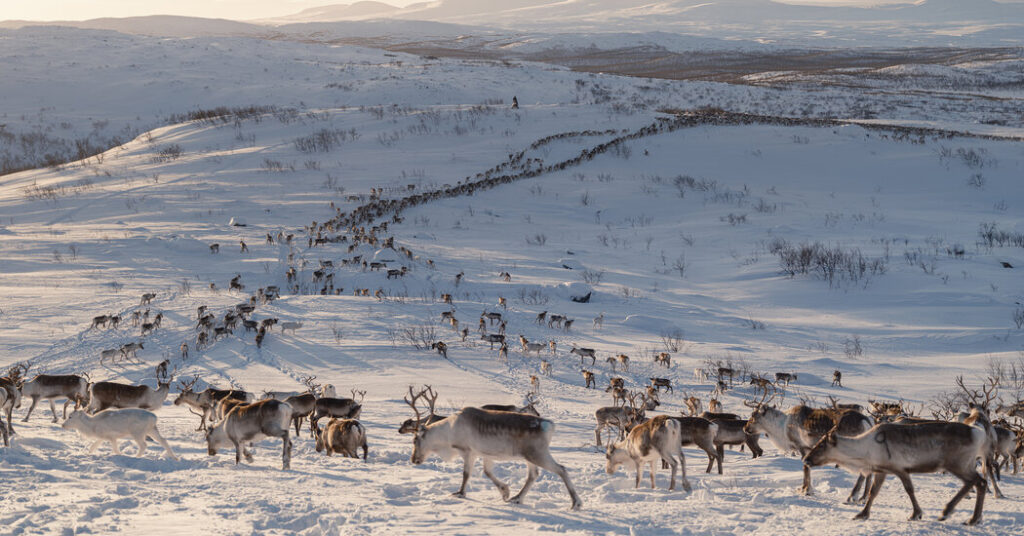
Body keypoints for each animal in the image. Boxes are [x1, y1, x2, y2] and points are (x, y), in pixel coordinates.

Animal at [405, 385, 582, 510]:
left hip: (538, 453)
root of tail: (549, 425)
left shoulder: (468, 451)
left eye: (415, 440)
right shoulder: (485, 454)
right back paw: (517, 498)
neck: (449, 432)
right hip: (529, 456)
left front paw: (460, 493)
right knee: (533, 474)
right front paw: (505, 492)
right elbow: (487, 472)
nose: (414, 460)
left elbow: (466, 474)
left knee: (561, 469)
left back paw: (576, 503)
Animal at [804, 422, 989, 525]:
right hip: (963, 465)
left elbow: (909, 490)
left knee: (976, 481)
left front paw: (916, 514)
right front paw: (862, 514)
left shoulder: (901, 469)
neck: (865, 452)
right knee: (979, 482)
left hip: (958, 464)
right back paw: (973, 518)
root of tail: (978, 432)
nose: (806, 459)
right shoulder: (882, 471)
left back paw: (949, 513)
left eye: (821, 445)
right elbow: (873, 492)